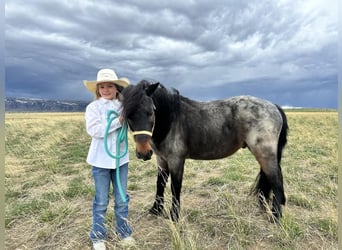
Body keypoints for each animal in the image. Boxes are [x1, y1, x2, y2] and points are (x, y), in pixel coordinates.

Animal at [122, 79, 288, 221]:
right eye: (128, 115)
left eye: (151, 112)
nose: (143, 152)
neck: (172, 119)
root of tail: (274, 106)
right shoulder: (161, 159)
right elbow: (160, 184)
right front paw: (155, 210)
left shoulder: (176, 160)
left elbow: (175, 187)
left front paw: (174, 216)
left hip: (265, 154)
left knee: (276, 180)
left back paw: (275, 217)